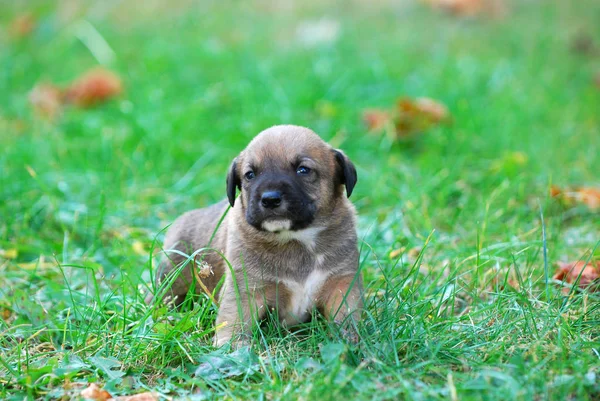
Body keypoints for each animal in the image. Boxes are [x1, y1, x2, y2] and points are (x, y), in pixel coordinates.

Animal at [148, 126, 364, 346]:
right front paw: (229, 346)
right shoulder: (245, 288)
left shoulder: (341, 282)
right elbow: (234, 319)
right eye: (250, 175)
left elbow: (345, 316)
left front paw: (350, 341)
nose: (270, 199)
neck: (295, 239)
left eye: (303, 170)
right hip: (171, 276)